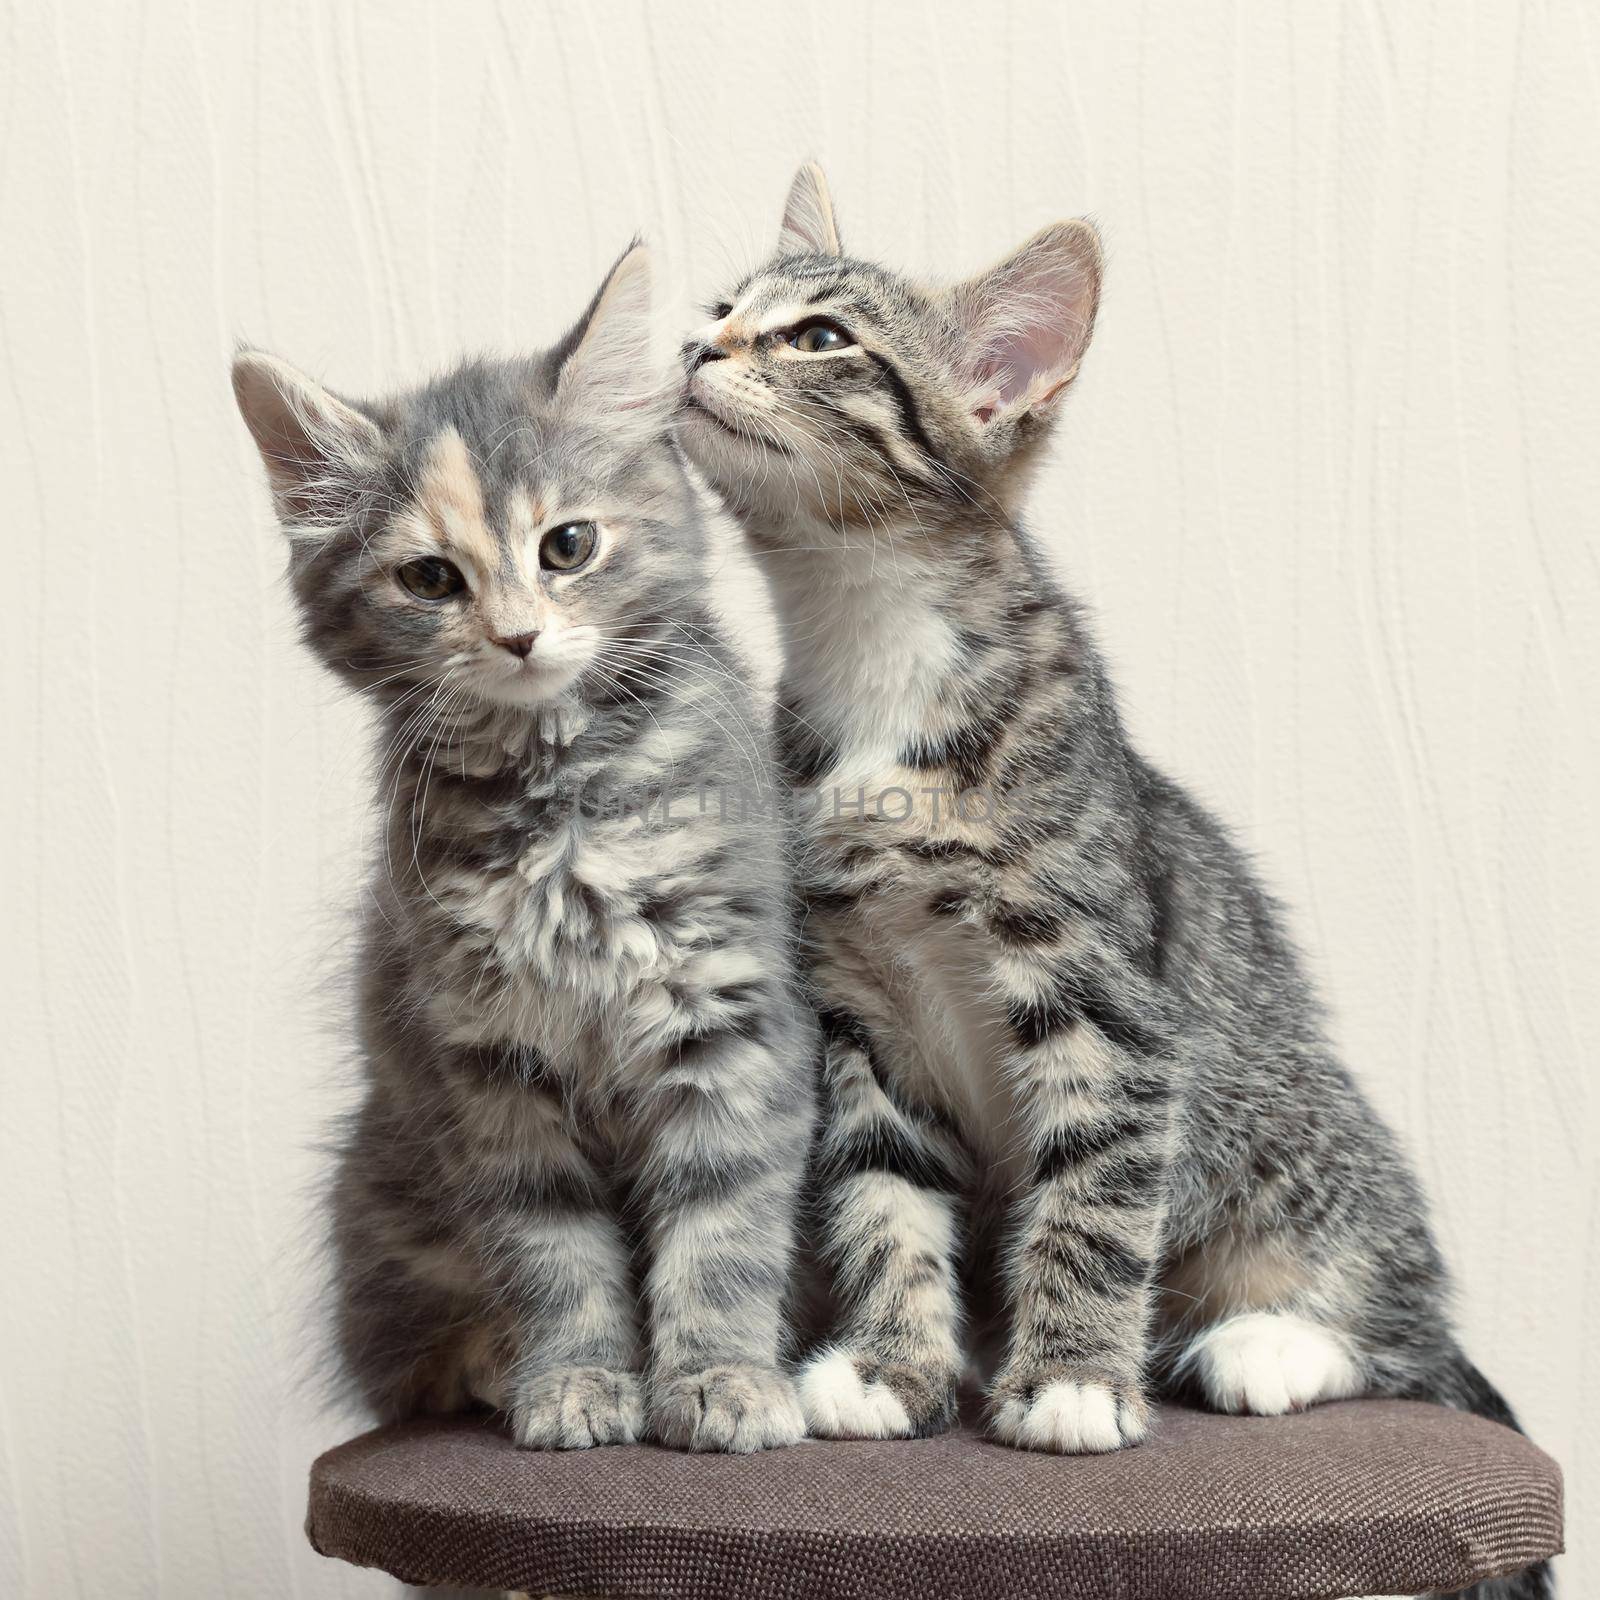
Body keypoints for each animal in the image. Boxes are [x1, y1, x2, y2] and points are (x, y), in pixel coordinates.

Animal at [232, 243, 819, 1459]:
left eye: (568, 546)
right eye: (429, 580)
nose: (516, 636)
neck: (561, 806)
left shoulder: (729, 1014)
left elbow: (724, 1221)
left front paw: (722, 1380)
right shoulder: (490, 1063)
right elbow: (552, 1251)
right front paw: (578, 1383)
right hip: (384, 1194)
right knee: (405, 1364)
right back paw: (493, 1365)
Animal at [678, 168, 1548, 1593]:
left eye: (817, 337)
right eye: (718, 306)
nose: (696, 347)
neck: (874, 654)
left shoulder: (1106, 998)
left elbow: (1092, 1192)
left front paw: (1073, 1382)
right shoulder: (855, 1011)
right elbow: (881, 1194)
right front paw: (895, 1364)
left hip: (1297, 1140)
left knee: (1409, 1329)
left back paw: (1271, 1339)